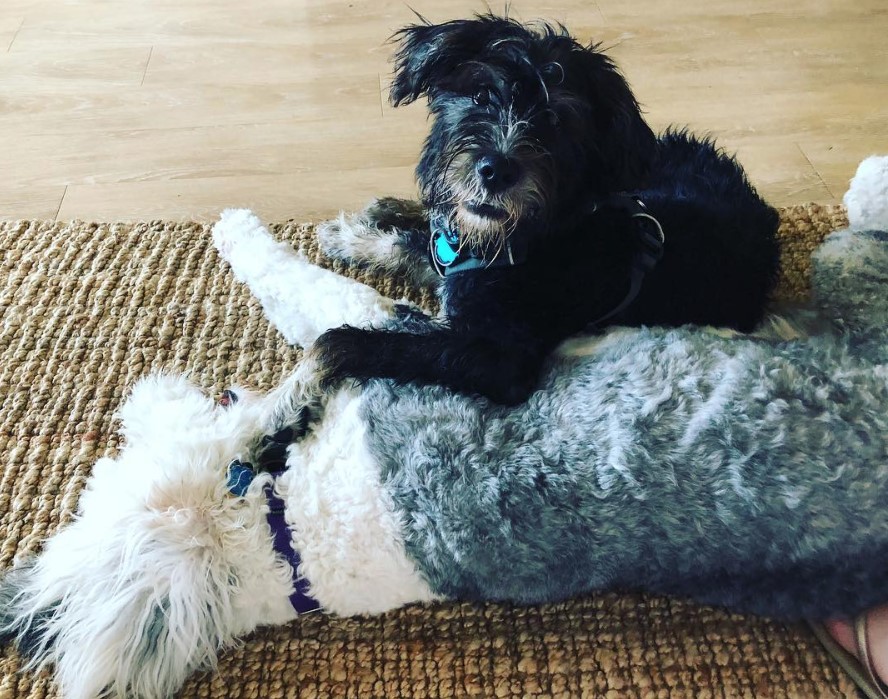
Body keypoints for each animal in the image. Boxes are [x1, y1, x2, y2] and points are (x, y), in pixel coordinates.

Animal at [302, 15, 780, 404]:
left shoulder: (500, 359)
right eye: (481, 95)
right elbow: (415, 248)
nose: (496, 170)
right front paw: (348, 236)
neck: (538, 238)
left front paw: (300, 385)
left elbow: (345, 345)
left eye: (556, 121)